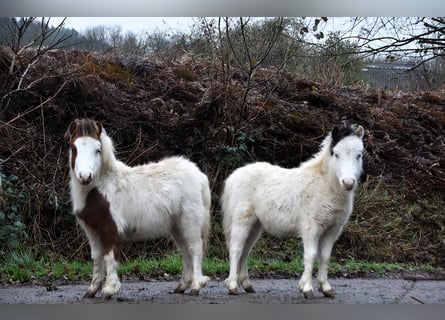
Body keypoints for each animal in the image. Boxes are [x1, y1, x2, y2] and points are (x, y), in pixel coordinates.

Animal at [65, 119, 212, 298]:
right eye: (74, 148)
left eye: (98, 149)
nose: (85, 176)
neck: (101, 187)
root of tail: (200, 176)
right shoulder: (92, 231)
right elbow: (97, 258)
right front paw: (92, 289)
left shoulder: (110, 228)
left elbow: (109, 257)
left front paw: (109, 289)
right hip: (177, 226)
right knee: (185, 252)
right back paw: (182, 286)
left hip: (190, 222)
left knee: (194, 249)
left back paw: (196, 286)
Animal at [222, 122, 364, 298]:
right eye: (336, 154)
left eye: (359, 155)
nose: (348, 182)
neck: (325, 186)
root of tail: (234, 176)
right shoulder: (311, 228)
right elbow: (311, 255)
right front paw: (307, 289)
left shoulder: (332, 229)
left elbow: (325, 256)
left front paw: (325, 288)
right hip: (241, 221)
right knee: (236, 249)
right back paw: (233, 285)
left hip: (255, 226)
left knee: (245, 251)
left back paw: (247, 285)